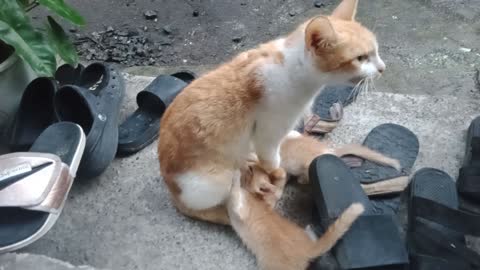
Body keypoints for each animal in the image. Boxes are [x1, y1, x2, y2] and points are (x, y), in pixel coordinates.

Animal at [158, 0, 386, 225]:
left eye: (376, 51)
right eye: (360, 58)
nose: (383, 68)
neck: (291, 69)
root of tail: (172, 191)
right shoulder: (268, 135)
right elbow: (272, 162)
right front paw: (277, 174)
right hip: (217, 179)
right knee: (206, 209)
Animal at [227, 165, 362, 270]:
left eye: (251, 169)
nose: (245, 163)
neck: (254, 197)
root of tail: (308, 248)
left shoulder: (241, 208)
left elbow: (234, 191)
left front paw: (235, 175)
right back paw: (310, 231)